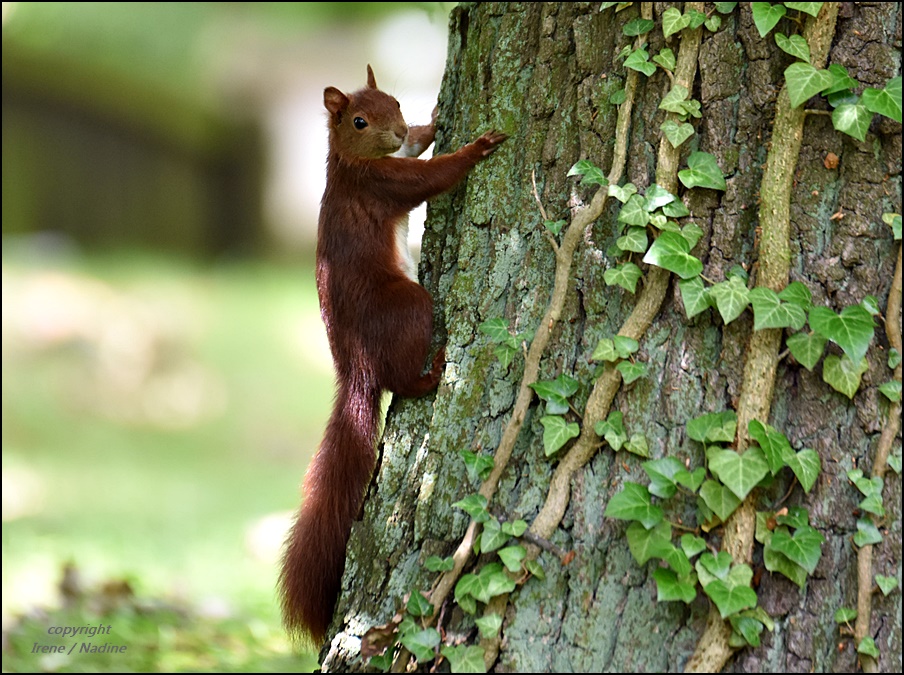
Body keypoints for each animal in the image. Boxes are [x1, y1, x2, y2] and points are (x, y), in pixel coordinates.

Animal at [278, 66, 504, 648]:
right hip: (409, 306)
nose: (398, 128)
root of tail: (355, 367)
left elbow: (420, 150)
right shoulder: (383, 184)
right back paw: (433, 373)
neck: (351, 162)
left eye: (397, 102)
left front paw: (434, 122)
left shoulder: (396, 159)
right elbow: (431, 177)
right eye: (358, 120)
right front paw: (476, 147)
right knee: (401, 380)